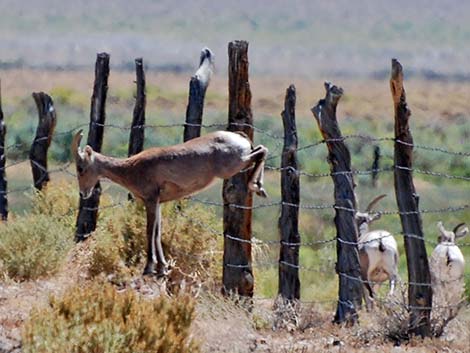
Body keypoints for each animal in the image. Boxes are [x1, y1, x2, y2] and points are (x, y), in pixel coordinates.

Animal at [71, 129, 266, 276]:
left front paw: (149, 268)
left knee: (262, 150)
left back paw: (257, 186)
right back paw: (258, 187)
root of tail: (238, 137)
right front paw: (162, 268)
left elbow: (150, 231)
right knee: (260, 150)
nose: (83, 193)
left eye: (80, 168)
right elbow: (158, 232)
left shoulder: (150, 200)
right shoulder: (158, 202)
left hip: (233, 164)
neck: (132, 168)